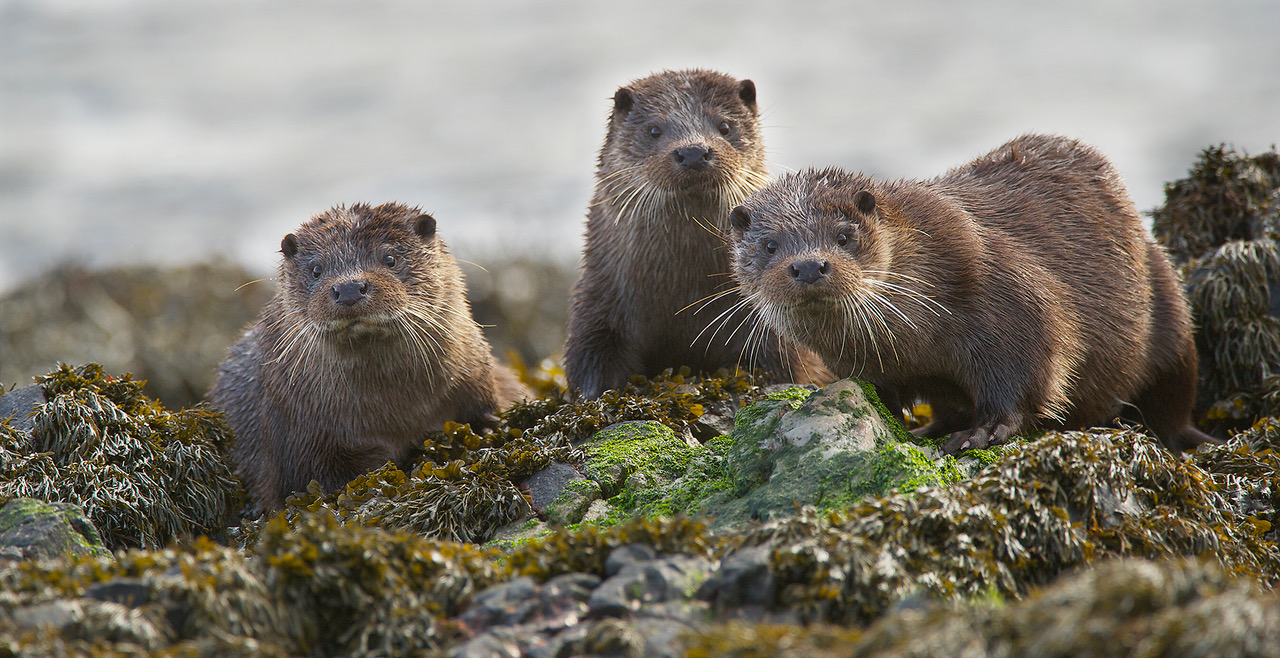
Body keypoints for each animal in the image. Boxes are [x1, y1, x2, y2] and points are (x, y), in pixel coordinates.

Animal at [209, 202, 529, 510]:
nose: (349, 287)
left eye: (390, 259)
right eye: (316, 270)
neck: (396, 414)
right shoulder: (296, 433)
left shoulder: (477, 381)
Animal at [563, 68, 830, 398]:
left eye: (725, 126)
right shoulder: (598, 303)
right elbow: (591, 361)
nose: (693, 152)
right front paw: (593, 395)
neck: (685, 288)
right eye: (654, 130)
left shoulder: (772, 325)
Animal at [728, 134, 1219, 455]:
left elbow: (1027, 371)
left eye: (844, 236)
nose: (810, 265)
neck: (912, 339)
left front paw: (982, 432)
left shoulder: (1007, 290)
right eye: (769, 246)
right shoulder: (865, 363)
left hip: (1169, 306)